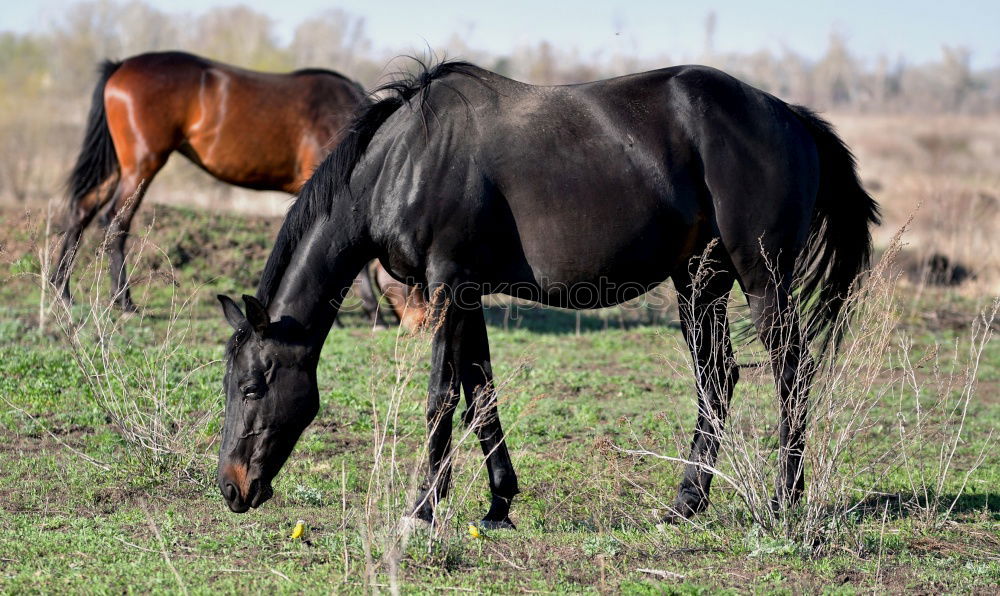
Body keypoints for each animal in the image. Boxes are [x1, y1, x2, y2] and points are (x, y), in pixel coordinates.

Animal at [52, 50, 420, 326]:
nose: (421, 325)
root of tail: (121, 66)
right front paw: (372, 315)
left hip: (119, 166)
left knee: (83, 211)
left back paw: (62, 291)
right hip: (142, 165)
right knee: (116, 222)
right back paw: (123, 302)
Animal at [217, 60, 876, 528]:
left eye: (252, 387)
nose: (232, 488)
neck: (405, 161)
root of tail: (790, 115)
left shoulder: (447, 285)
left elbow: (441, 397)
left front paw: (422, 509)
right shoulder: (469, 294)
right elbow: (481, 393)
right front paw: (499, 504)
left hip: (762, 278)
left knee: (791, 370)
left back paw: (783, 502)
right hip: (699, 281)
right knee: (717, 378)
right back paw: (684, 504)